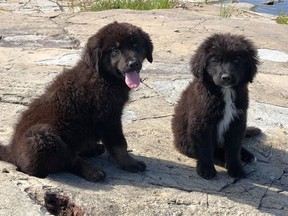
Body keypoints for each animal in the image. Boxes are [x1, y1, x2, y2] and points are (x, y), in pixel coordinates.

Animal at [172, 33, 260, 179]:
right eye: (216, 60)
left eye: (237, 60)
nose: (226, 77)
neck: (226, 92)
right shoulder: (202, 122)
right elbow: (206, 148)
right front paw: (206, 169)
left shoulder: (238, 121)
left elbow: (234, 148)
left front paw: (236, 168)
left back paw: (246, 155)